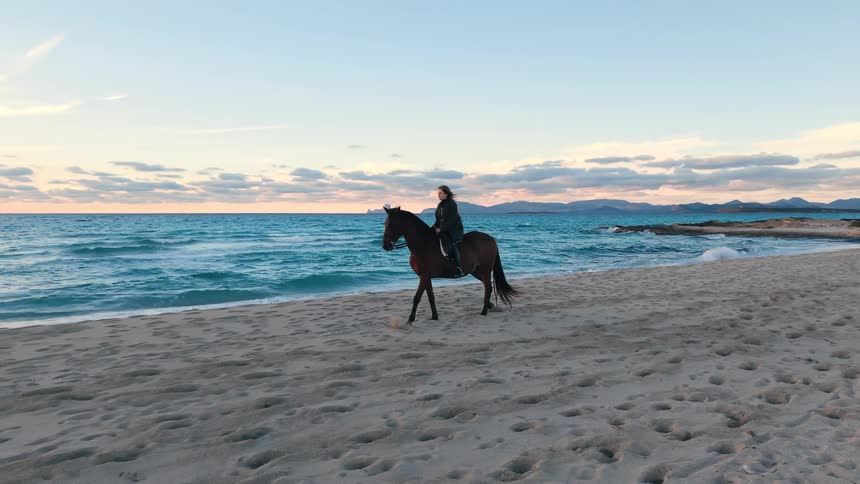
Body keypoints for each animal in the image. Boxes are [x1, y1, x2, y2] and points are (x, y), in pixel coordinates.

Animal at [381, 205, 520, 324]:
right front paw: (434, 317)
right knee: (488, 287)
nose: (385, 246)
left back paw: (484, 311)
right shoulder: (425, 277)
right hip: (476, 271)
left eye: (391, 224)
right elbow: (431, 297)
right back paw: (489, 306)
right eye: (385, 224)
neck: (423, 245)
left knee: (488, 288)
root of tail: (491, 238)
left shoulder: (424, 276)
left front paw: (410, 320)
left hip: (484, 270)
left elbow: (417, 297)